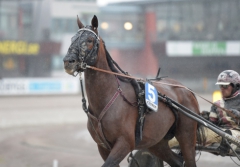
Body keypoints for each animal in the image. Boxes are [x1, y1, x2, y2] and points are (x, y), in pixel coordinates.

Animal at [62, 15, 203, 166]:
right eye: (72, 39)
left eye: (89, 40)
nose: (68, 61)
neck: (108, 96)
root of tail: (186, 89)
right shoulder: (103, 147)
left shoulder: (124, 143)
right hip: (156, 141)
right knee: (176, 160)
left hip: (186, 134)